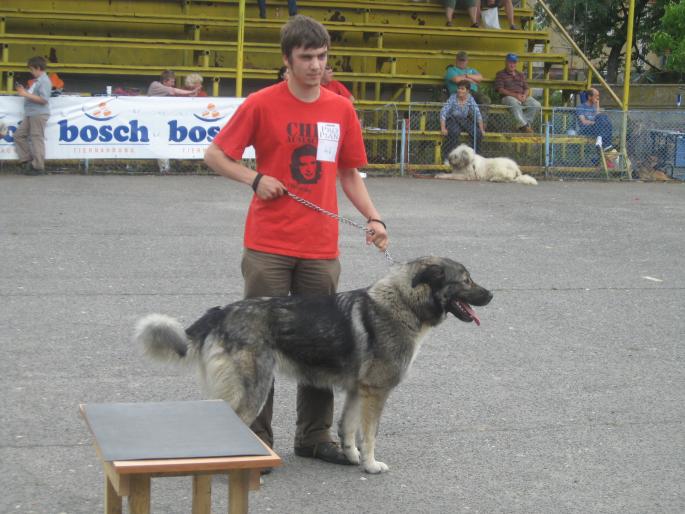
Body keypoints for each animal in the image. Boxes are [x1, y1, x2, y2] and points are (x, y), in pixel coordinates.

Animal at [134, 255, 488, 472]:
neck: (403, 302)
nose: (492, 295)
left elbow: (348, 429)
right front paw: (371, 465)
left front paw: (353, 458)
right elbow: (370, 434)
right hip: (254, 391)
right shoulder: (376, 393)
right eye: (466, 280)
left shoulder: (357, 391)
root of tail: (221, 312)